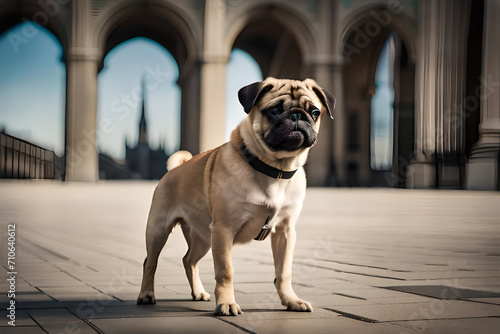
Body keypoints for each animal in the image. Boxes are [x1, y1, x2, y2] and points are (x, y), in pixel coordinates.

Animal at [136, 77, 336, 316]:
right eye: (275, 111)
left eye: (315, 112)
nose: (297, 115)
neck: (275, 169)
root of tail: (175, 169)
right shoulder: (224, 230)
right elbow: (226, 271)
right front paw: (227, 303)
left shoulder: (285, 232)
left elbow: (284, 271)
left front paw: (291, 300)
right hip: (159, 230)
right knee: (150, 261)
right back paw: (146, 294)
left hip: (203, 237)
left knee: (189, 260)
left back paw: (198, 292)